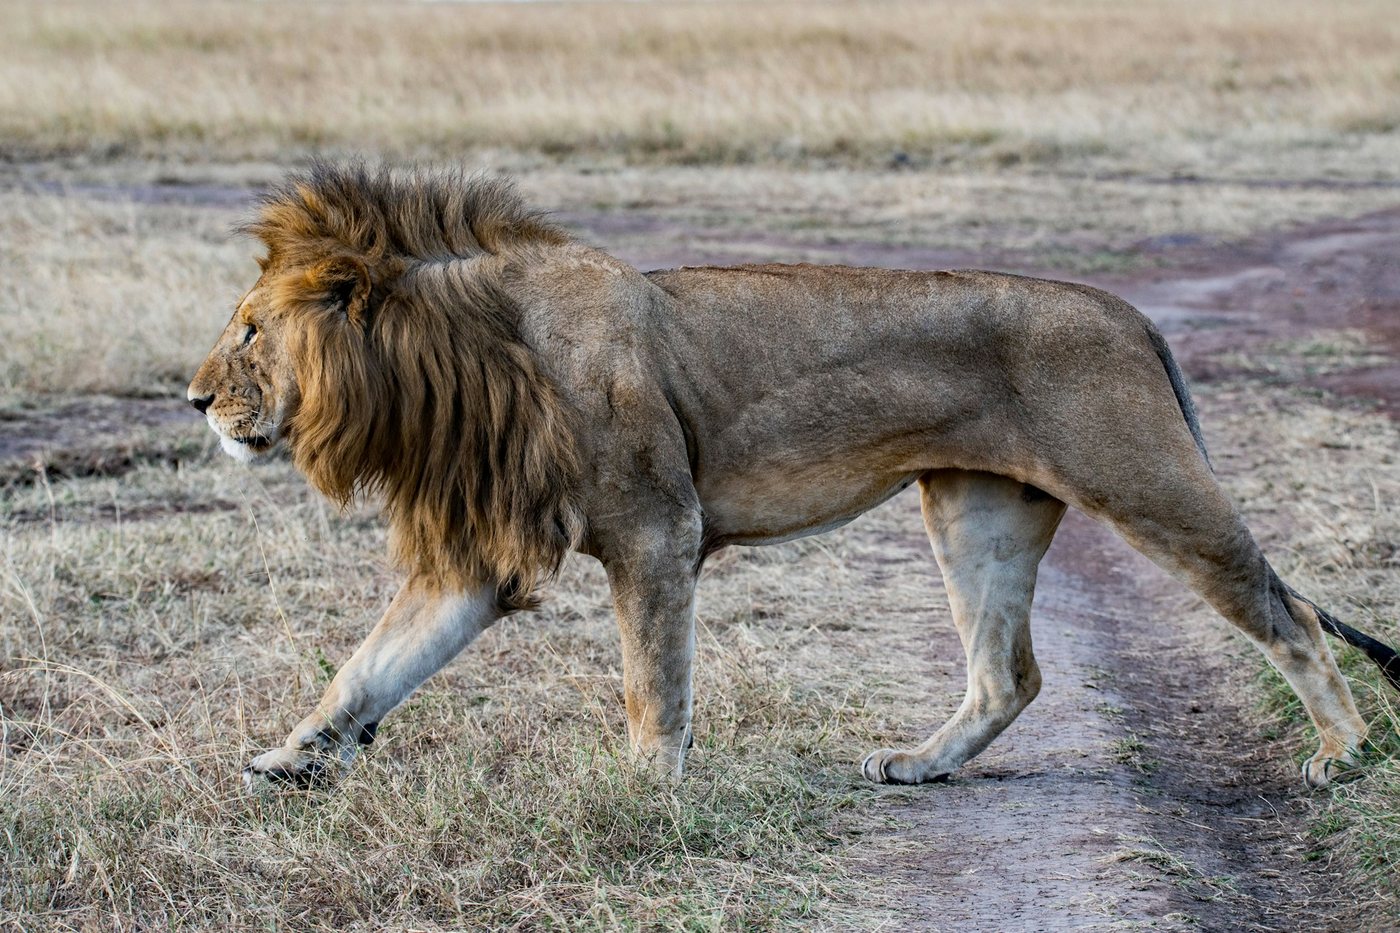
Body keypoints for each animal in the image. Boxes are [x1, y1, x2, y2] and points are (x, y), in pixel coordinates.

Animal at [188, 162, 1399, 792]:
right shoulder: (479, 558)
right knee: (1007, 674)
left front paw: (647, 792)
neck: (466, 357)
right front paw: (288, 760)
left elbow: (652, 681)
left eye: (248, 331)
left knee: (1287, 611)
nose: (193, 400)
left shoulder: (656, 530)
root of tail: (1127, 310)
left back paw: (1344, 754)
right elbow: (369, 668)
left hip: (1147, 482)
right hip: (975, 510)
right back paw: (920, 763)